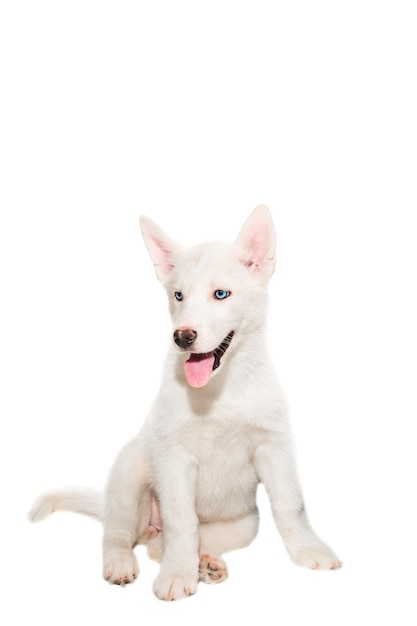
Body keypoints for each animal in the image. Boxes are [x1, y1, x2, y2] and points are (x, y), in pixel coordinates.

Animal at [30, 207, 342, 596]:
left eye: (221, 294)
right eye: (178, 295)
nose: (182, 336)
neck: (220, 390)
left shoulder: (273, 445)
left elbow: (291, 505)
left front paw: (310, 550)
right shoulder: (173, 455)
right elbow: (181, 520)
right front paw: (177, 575)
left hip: (244, 521)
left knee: (161, 544)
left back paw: (207, 564)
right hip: (129, 476)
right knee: (119, 534)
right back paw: (123, 563)